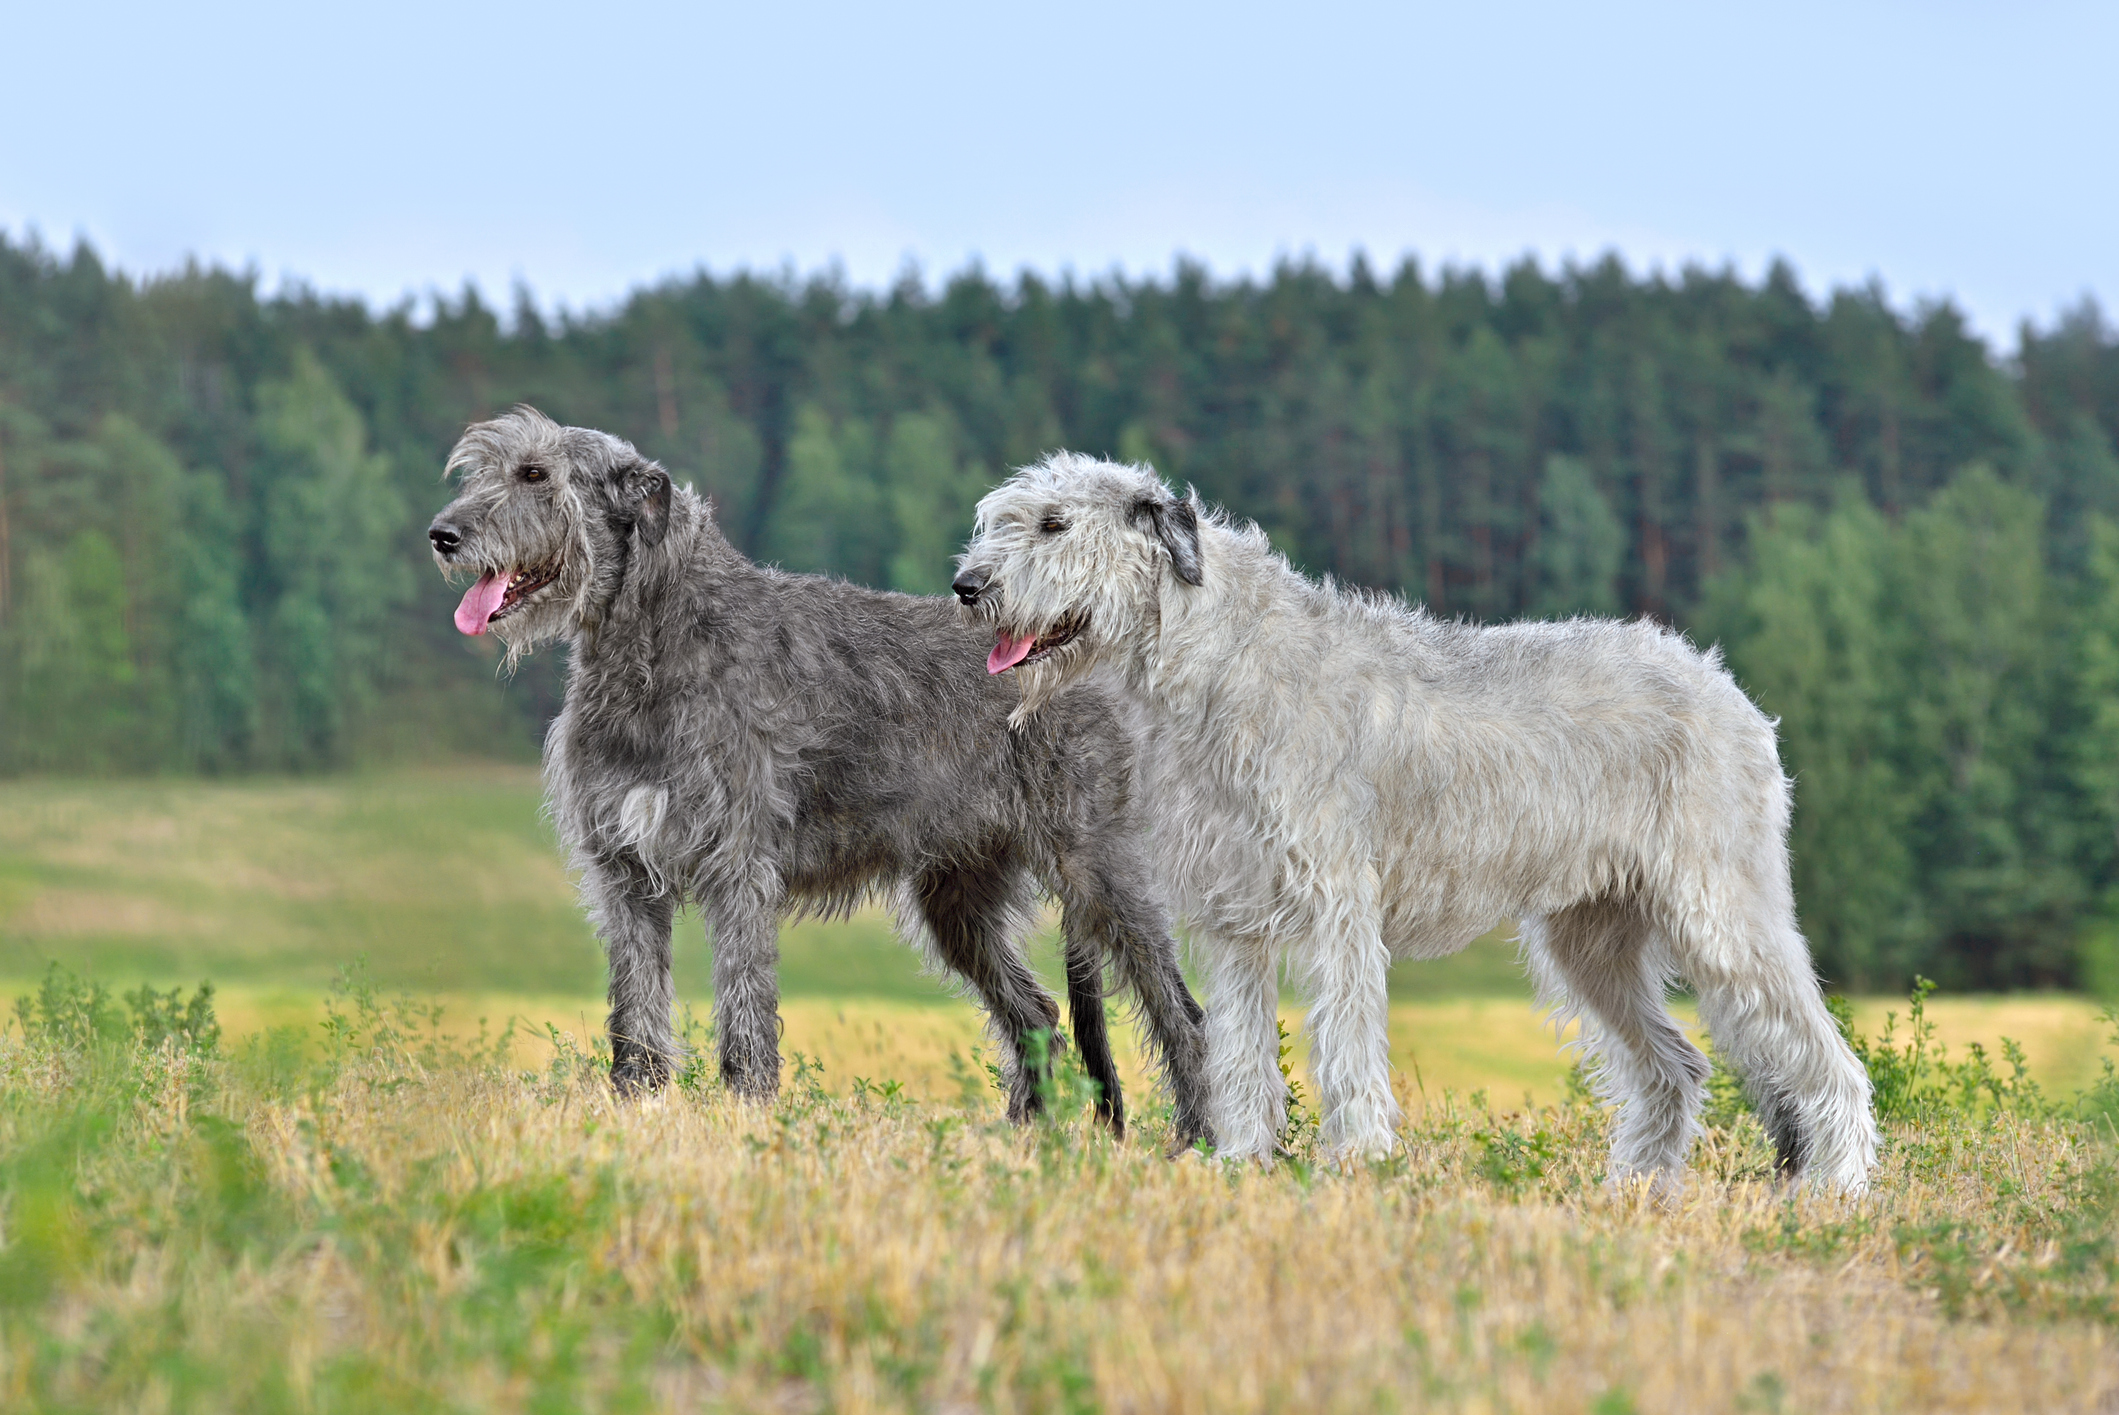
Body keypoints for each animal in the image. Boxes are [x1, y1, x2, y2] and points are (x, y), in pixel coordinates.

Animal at [425, 406, 1212, 1135]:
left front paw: (745, 1110)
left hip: (1097, 867)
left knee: (1179, 1011)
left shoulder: (737, 866)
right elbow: (637, 1006)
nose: (442, 534)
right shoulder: (625, 869)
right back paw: (1023, 1138)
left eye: (537, 474)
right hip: (959, 894)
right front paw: (637, 1108)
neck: (657, 637)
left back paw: (1198, 1140)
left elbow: (745, 1002)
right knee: (1037, 1013)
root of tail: (1079, 647)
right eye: (485, 470)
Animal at [953, 455, 1881, 1194]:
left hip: (1723, 912)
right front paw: (1243, 1161)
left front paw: (1356, 1161)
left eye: (1054, 522)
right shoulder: (1234, 913)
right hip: (1590, 938)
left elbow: (1346, 1042)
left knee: (1827, 1060)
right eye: (997, 519)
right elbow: (1239, 1050)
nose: (967, 586)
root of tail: (1729, 690)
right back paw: (1635, 1190)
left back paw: (1835, 1190)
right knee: (1674, 1068)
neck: (1218, 661)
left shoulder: (1336, 902)